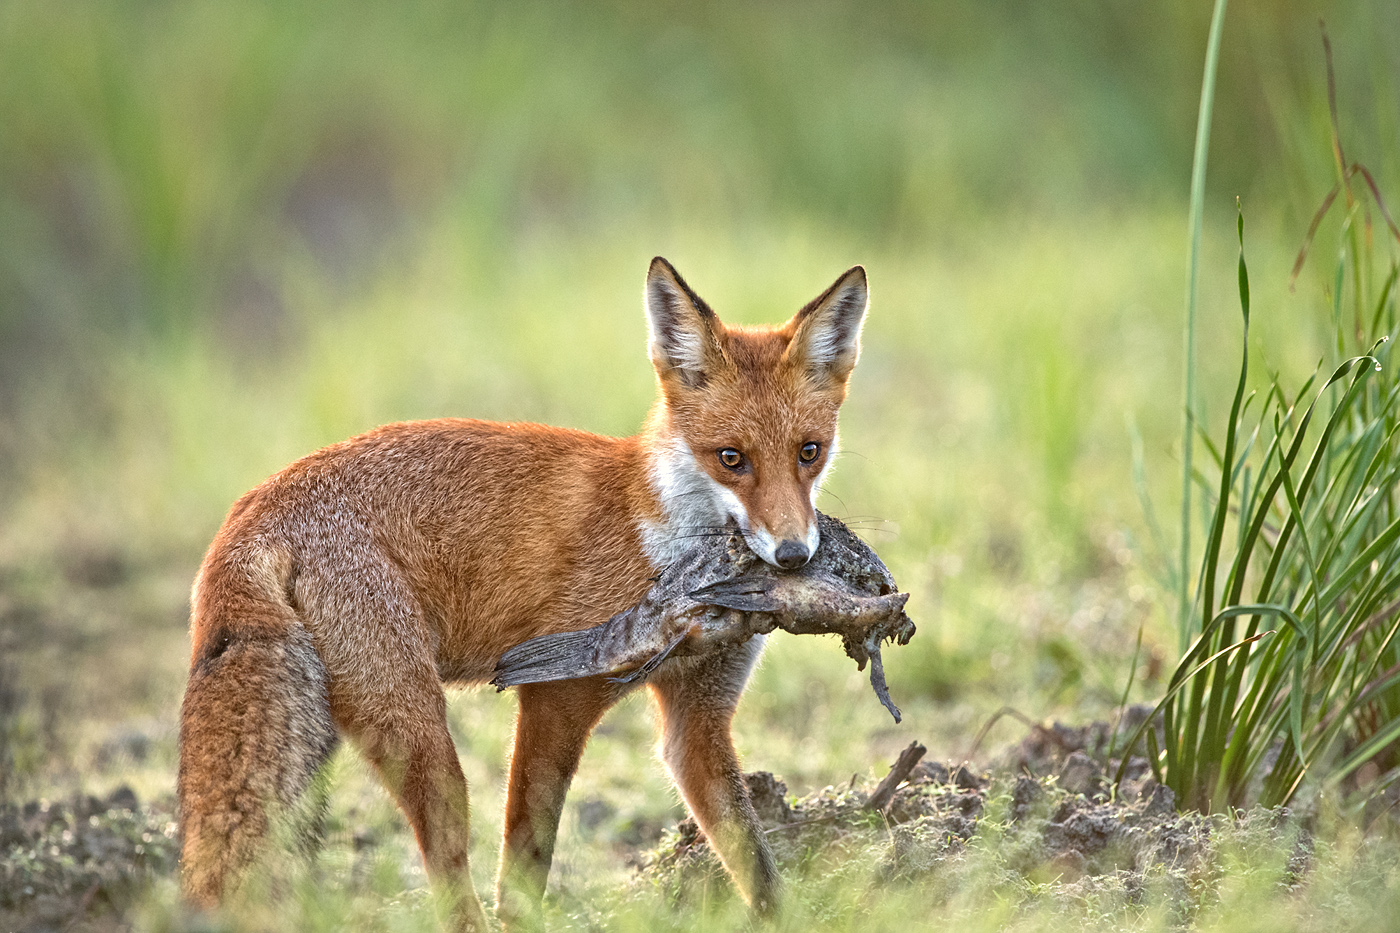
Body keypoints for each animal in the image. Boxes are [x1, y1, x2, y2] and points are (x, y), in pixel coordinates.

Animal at [177, 254, 862, 930]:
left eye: (810, 452)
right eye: (730, 458)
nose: (795, 555)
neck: (661, 542)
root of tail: (254, 506)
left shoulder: (697, 721)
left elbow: (756, 864)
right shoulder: (554, 693)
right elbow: (525, 868)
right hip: (422, 743)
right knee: (450, 873)